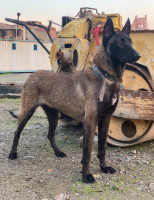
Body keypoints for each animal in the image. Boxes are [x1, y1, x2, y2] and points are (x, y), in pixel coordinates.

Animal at [8, 18, 141, 184]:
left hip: (54, 116)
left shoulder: (105, 120)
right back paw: (13, 154)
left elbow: (102, 148)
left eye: (130, 41)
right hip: (27, 112)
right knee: (16, 133)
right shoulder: (90, 122)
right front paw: (86, 175)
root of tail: (32, 74)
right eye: (120, 42)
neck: (105, 77)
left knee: (50, 135)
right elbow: (87, 152)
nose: (138, 55)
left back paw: (58, 152)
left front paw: (104, 167)